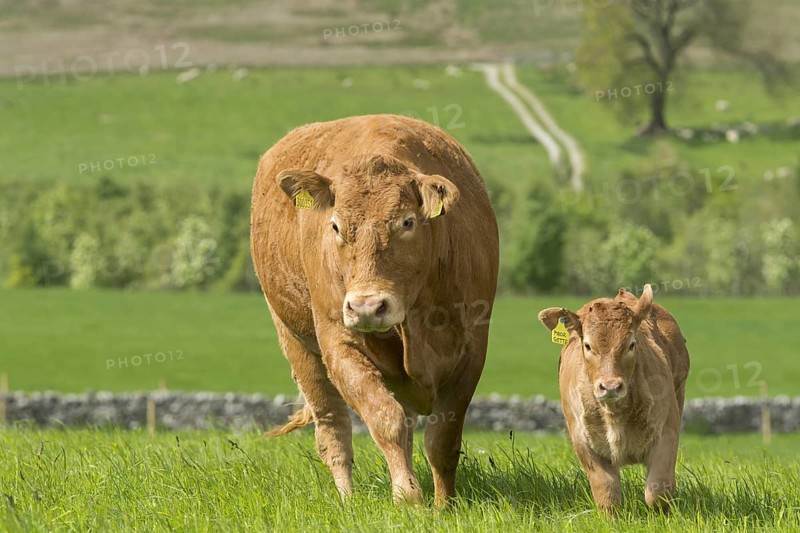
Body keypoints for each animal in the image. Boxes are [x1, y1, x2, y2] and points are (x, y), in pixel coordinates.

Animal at [250, 114, 499, 506]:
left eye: (407, 222)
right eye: (335, 225)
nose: (367, 307)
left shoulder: (472, 350)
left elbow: (442, 439)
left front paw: (444, 505)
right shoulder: (339, 344)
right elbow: (385, 418)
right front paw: (407, 496)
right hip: (296, 342)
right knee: (333, 429)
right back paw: (347, 500)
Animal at [537, 285, 690, 512]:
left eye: (631, 344)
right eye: (588, 346)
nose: (610, 386)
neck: (615, 414)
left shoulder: (667, 431)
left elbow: (657, 491)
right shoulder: (583, 441)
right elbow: (606, 492)